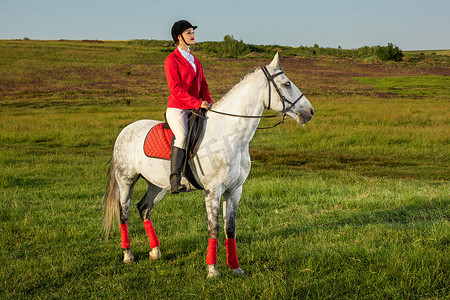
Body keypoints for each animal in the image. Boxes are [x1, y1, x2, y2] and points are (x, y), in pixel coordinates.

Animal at [103, 52, 312, 278]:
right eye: (287, 84)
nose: (310, 112)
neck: (230, 135)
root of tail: (126, 130)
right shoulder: (213, 190)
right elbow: (214, 228)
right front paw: (213, 270)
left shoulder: (234, 190)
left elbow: (231, 229)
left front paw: (235, 267)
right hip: (126, 181)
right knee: (124, 213)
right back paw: (128, 255)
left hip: (157, 185)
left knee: (144, 209)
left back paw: (155, 251)